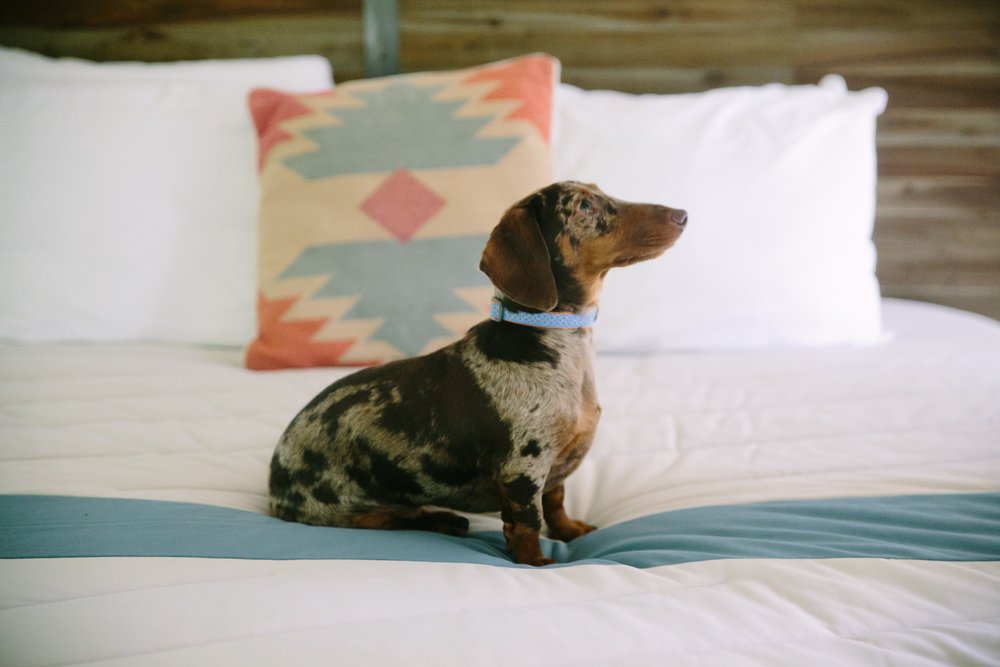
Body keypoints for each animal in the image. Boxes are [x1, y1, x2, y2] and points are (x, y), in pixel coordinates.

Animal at [268, 181, 688, 564]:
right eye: (584, 206)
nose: (682, 215)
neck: (560, 348)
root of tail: (275, 480)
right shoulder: (523, 470)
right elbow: (527, 523)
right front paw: (535, 562)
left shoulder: (553, 469)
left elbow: (556, 502)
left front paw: (570, 530)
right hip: (344, 510)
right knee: (386, 519)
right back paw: (442, 518)